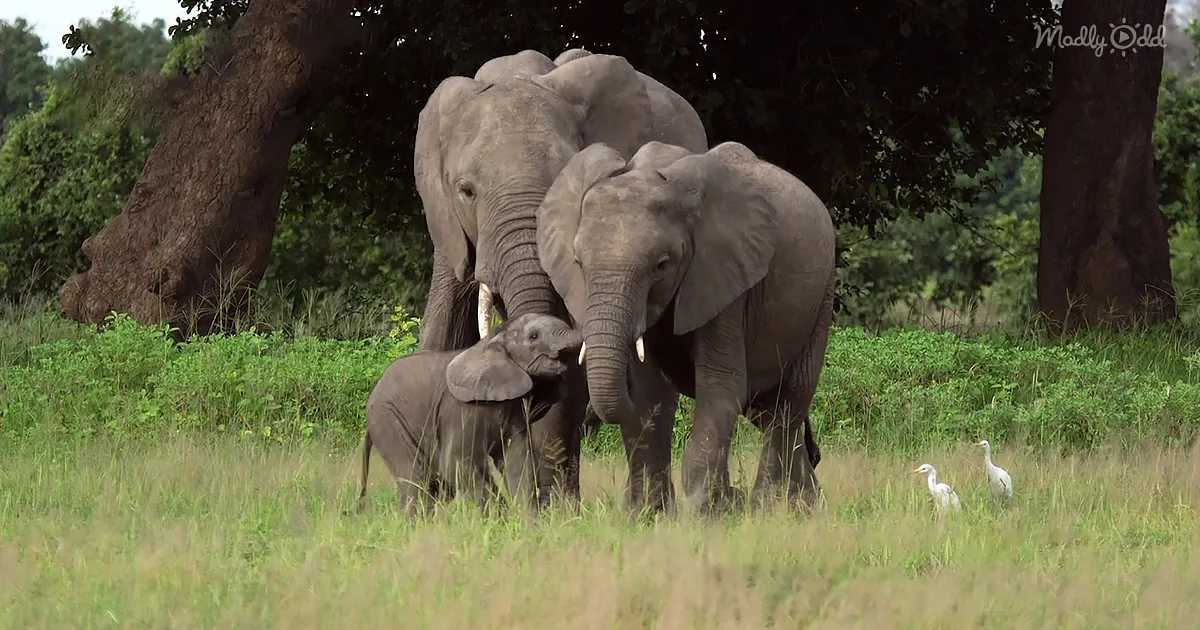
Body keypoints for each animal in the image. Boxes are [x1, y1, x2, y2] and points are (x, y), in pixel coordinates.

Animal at [356, 313, 583, 516]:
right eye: (534, 336)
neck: (493, 341)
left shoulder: (515, 410)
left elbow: (518, 463)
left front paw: (530, 526)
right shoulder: (460, 409)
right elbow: (456, 464)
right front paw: (500, 521)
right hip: (387, 421)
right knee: (415, 477)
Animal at [536, 141, 837, 516]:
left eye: (662, 265)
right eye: (578, 263)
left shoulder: (723, 277)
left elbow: (720, 387)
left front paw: (700, 514)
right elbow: (648, 393)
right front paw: (647, 515)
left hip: (822, 296)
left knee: (789, 402)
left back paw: (770, 508)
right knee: (769, 412)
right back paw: (799, 505)